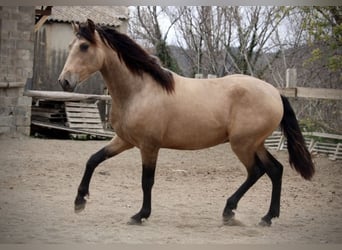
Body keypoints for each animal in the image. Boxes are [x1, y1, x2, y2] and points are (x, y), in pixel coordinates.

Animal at [57, 19, 314, 227]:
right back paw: (266, 217)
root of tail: (275, 93)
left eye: (84, 46)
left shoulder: (149, 146)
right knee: (275, 170)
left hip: (243, 144)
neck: (140, 90)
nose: (64, 81)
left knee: (257, 171)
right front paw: (79, 201)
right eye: (70, 46)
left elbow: (147, 181)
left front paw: (140, 215)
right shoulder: (124, 140)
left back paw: (230, 211)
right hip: (255, 144)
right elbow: (93, 160)